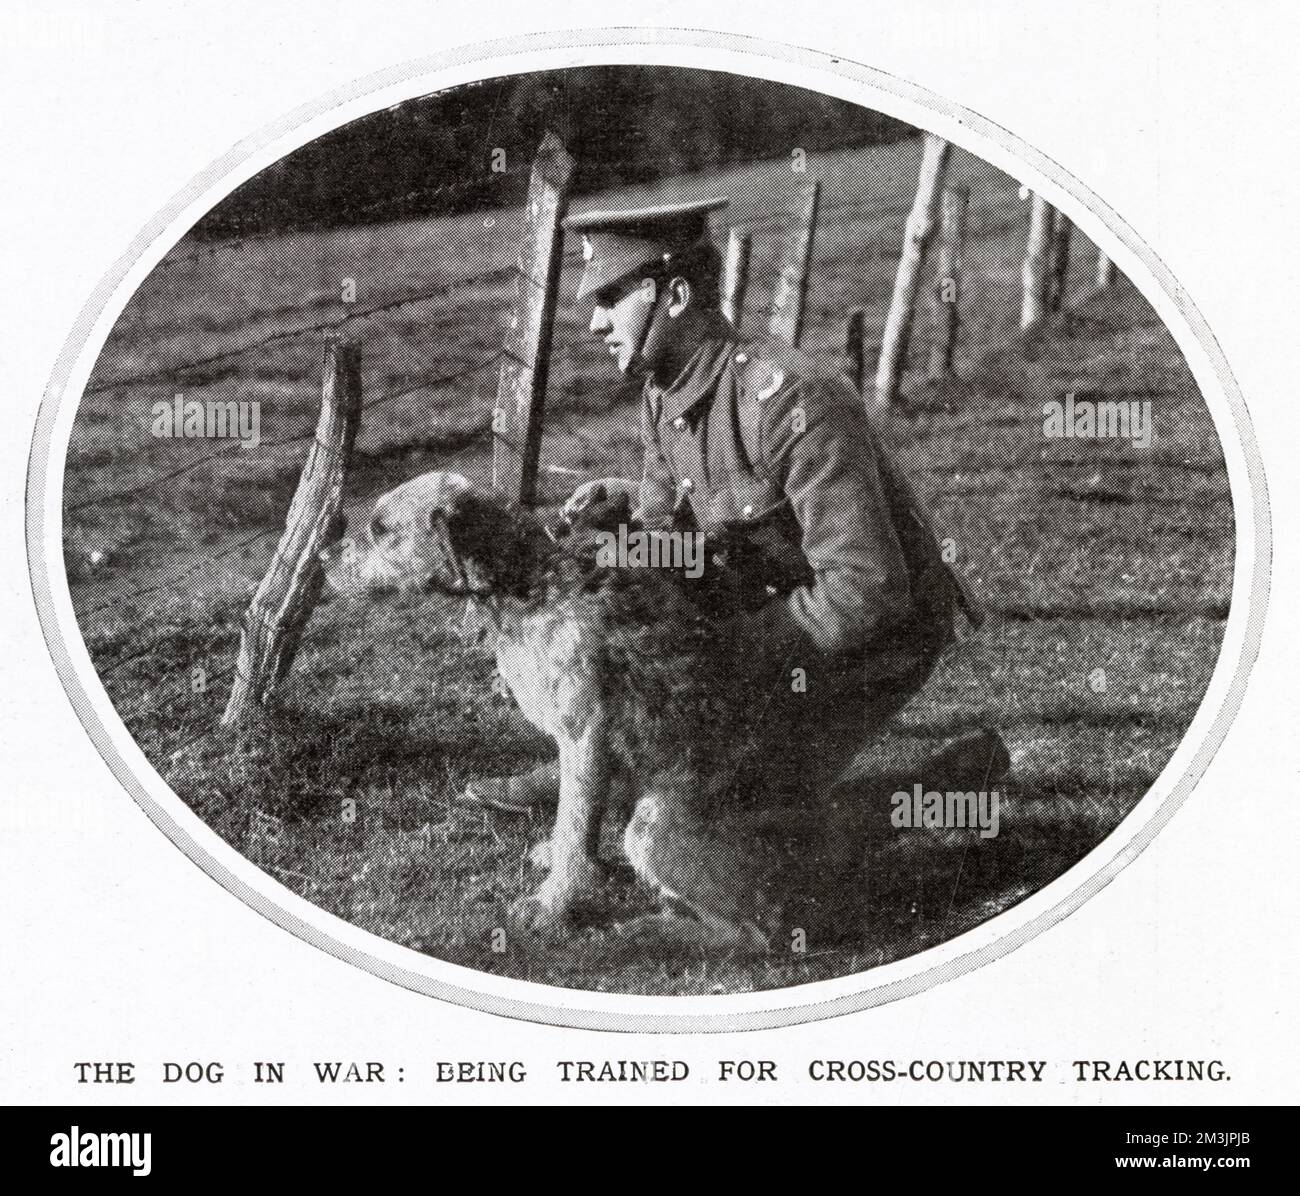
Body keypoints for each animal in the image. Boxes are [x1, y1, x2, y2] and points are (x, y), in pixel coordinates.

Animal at [325, 470, 1003, 946]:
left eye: (380, 528)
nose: (327, 558)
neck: (527, 580)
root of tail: (838, 843)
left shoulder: (584, 734)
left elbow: (575, 824)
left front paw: (552, 905)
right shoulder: (598, 747)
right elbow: (582, 817)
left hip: (654, 831)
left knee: (761, 933)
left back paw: (652, 932)